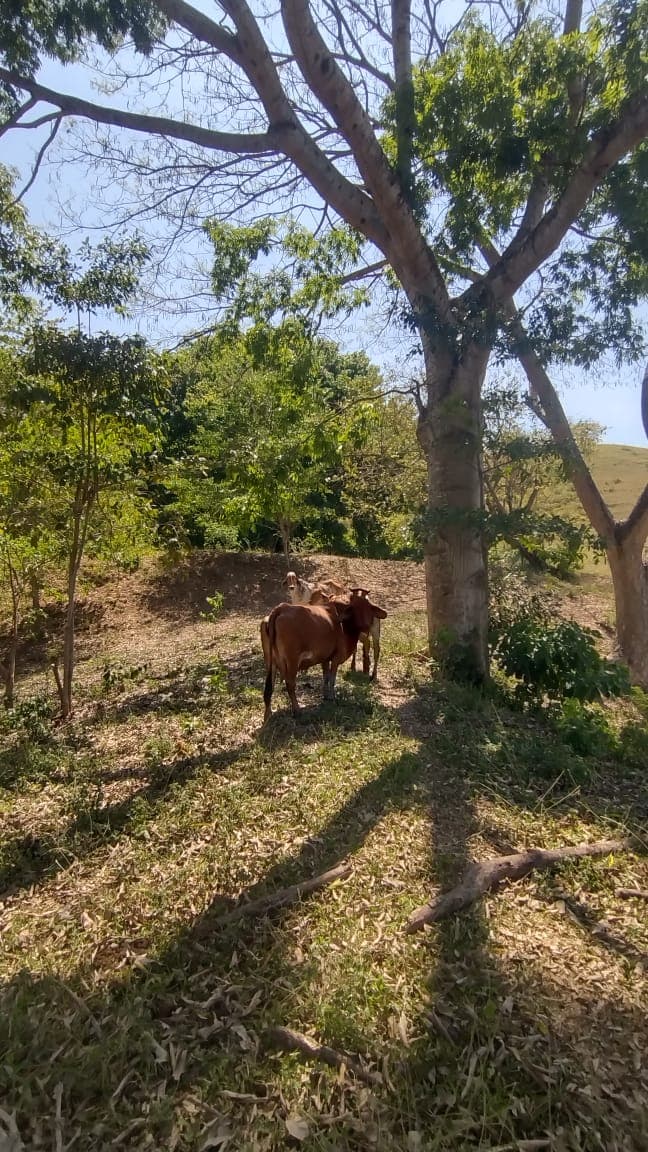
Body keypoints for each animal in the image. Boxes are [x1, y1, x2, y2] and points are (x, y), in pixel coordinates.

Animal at [261, 593, 388, 724]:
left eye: (368, 608)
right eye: (355, 608)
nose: (367, 626)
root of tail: (281, 608)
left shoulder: (325, 658)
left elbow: (326, 677)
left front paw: (326, 696)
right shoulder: (336, 658)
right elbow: (332, 679)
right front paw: (332, 696)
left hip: (271, 662)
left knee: (269, 687)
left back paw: (268, 714)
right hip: (292, 662)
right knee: (290, 684)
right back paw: (297, 710)